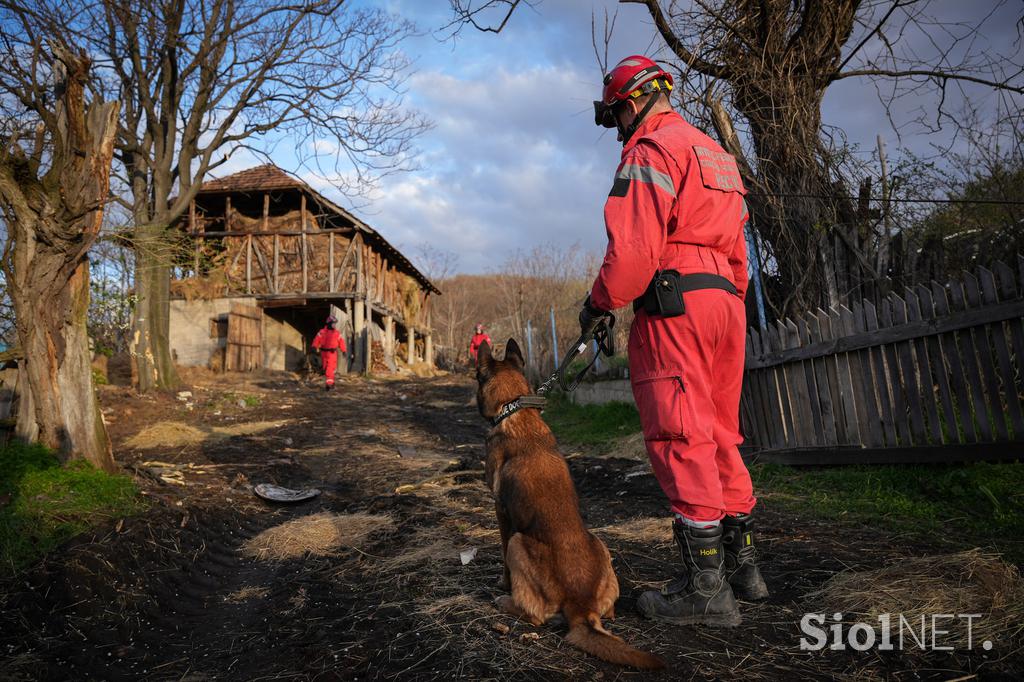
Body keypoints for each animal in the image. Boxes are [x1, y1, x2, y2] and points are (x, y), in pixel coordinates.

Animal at [473, 337, 663, 667]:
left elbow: (503, 557)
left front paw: (501, 584)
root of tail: (581, 605)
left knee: (535, 616)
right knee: (609, 613)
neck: (515, 412)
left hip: (519, 543)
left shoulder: (501, 512)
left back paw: (505, 601)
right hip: (600, 544)